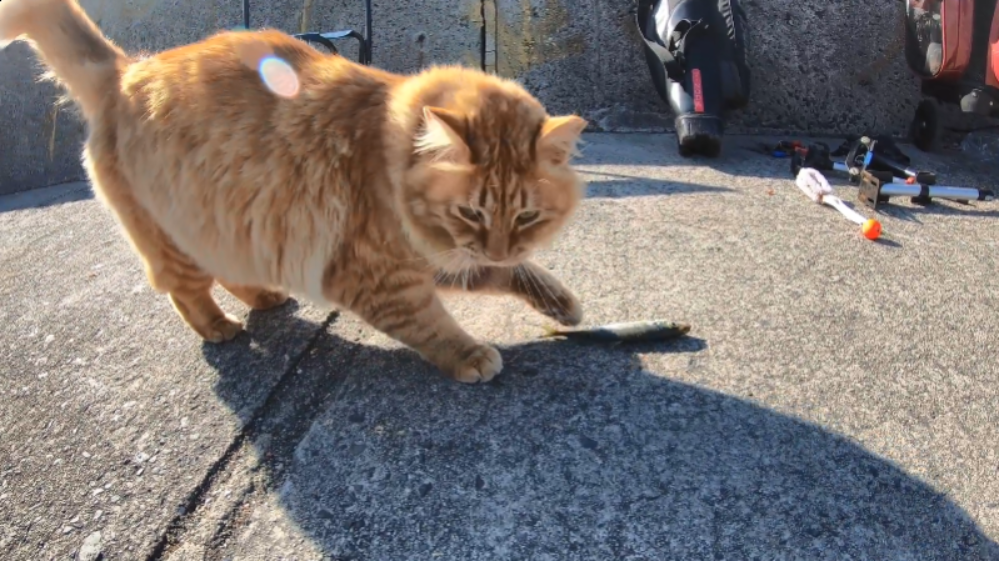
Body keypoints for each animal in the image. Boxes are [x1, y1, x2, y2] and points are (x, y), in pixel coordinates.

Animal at [1, 0, 584, 382]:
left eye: (526, 218)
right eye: (471, 213)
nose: (498, 247)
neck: (387, 157)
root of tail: (126, 70)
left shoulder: (441, 259)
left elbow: (516, 274)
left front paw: (561, 302)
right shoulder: (382, 276)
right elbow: (432, 324)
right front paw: (470, 355)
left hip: (232, 223)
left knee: (229, 271)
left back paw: (264, 296)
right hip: (177, 234)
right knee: (185, 291)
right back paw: (220, 327)